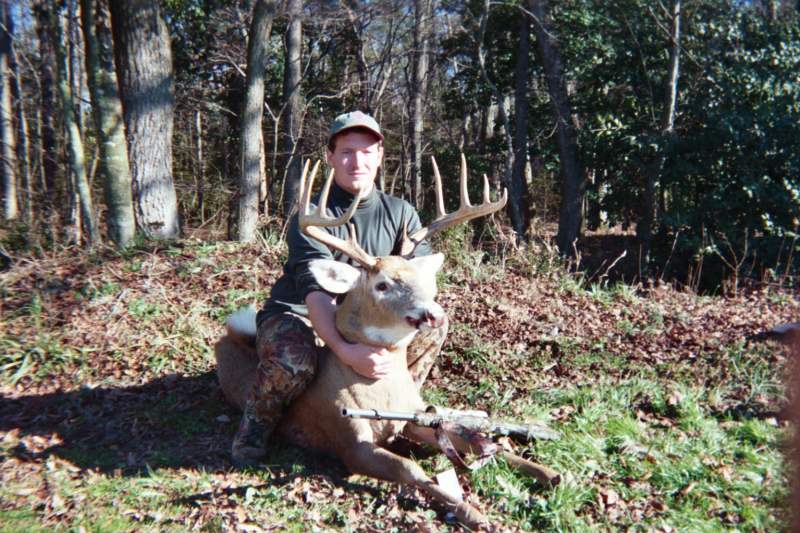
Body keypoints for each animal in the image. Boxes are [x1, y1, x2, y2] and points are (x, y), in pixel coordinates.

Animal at [216, 155, 560, 528]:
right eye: (382, 284)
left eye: (423, 279)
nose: (434, 313)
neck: (380, 388)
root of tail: (228, 336)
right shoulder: (350, 442)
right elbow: (411, 468)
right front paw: (472, 513)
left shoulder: (412, 420)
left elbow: (470, 441)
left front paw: (547, 472)